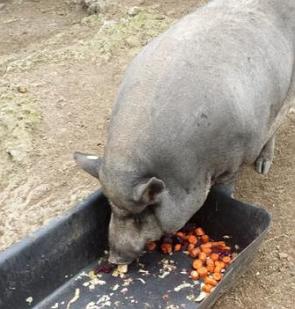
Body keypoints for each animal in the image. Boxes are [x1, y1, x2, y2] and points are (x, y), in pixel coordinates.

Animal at [74, 0, 295, 264]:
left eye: (140, 215)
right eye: (110, 206)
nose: (115, 259)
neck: (188, 171)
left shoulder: (234, 160)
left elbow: (226, 189)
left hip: (287, 95)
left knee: (274, 128)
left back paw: (263, 167)